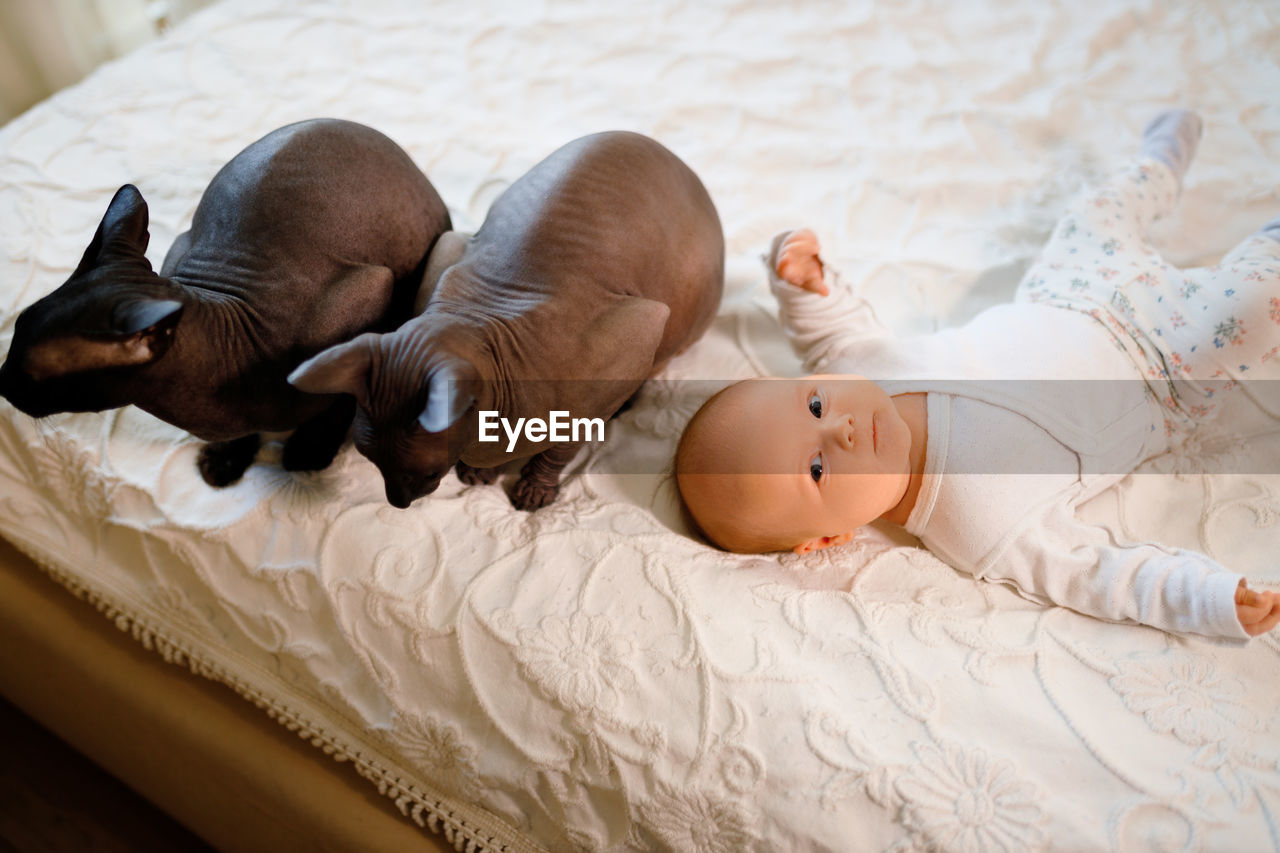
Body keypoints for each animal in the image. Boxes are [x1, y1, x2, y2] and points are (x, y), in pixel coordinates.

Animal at [0, 117, 450, 484]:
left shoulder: (371, 293)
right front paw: (229, 456)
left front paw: (309, 449)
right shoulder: (177, 254)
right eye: (15, 330)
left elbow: (345, 395)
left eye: (33, 372)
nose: (1, 380)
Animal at [293, 129, 732, 507]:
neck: (481, 319)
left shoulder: (634, 338)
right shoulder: (447, 249)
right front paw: (480, 470)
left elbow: (562, 446)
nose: (398, 502)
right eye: (371, 461)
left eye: (428, 472)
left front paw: (535, 488)